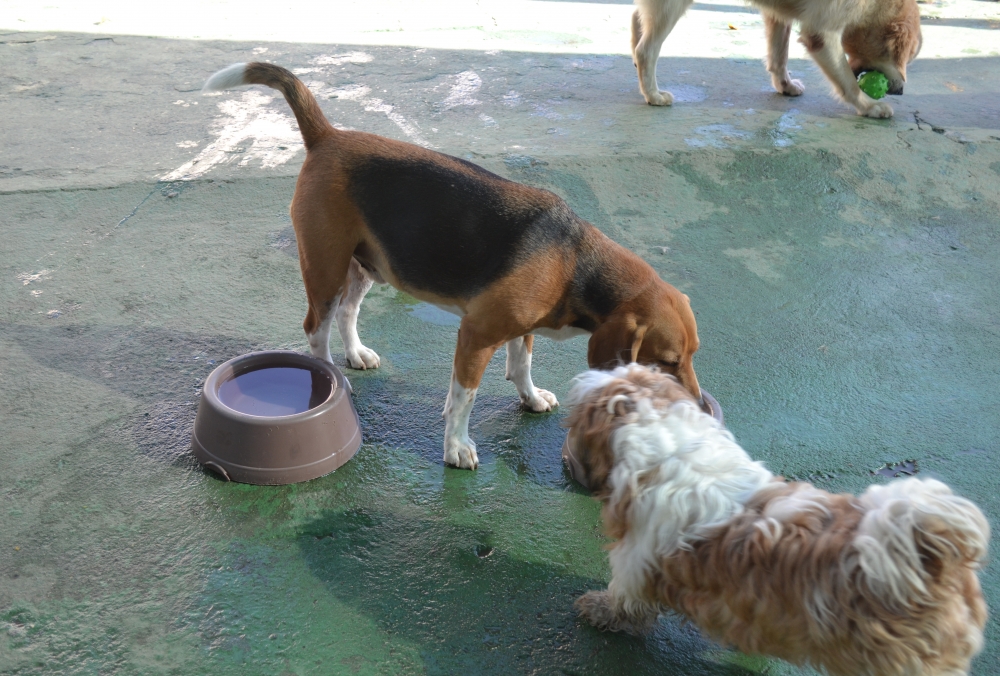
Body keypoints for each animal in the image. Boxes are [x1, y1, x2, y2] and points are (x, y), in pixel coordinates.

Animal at [203, 63, 704, 470]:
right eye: (666, 361)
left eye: (693, 354)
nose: (699, 408)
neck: (577, 263)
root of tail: (328, 136)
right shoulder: (476, 336)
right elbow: (464, 399)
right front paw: (457, 447)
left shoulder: (519, 328)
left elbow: (521, 365)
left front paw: (531, 398)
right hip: (324, 269)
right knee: (316, 331)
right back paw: (333, 377)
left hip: (367, 267)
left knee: (348, 312)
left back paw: (357, 354)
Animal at [632, 0, 920, 117]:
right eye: (908, 58)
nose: (901, 91)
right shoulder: (822, 33)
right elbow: (848, 83)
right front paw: (869, 106)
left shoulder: (779, 13)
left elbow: (779, 54)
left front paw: (786, 85)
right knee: (647, 49)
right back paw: (653, 94)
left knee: (637, 19)